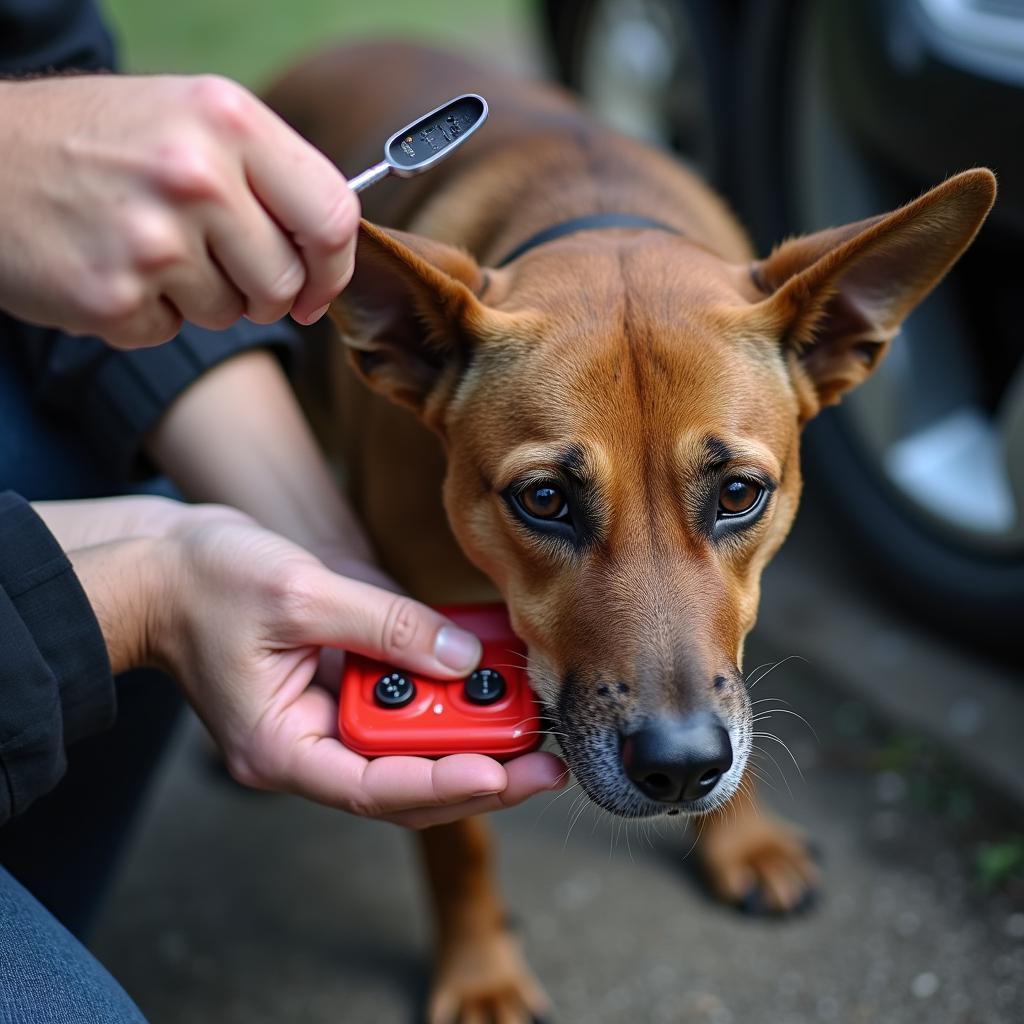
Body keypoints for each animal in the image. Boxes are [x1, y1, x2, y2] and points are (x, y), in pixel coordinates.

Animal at [264, 41, 991, 1024]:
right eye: (543, 500)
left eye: (739, 493)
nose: (681, 769)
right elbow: (455, 841)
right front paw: (480, 971)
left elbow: (735, 685)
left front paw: (740, 840)